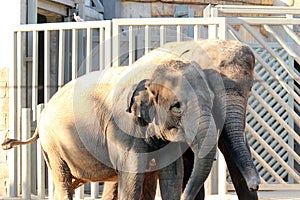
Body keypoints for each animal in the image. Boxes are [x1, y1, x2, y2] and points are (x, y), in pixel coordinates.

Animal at [2, 59, 218, 200]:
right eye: (176, 107)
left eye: (211, 101)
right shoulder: (122, 127)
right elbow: (132, 174)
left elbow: (173, 173)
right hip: (53, 145)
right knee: (63, 181)